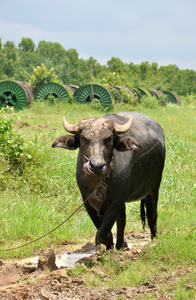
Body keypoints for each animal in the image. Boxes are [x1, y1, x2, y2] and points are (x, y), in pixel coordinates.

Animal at [52, 111, 165, 250]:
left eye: (109, 139)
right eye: (83, 138)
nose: (96, 165)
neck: (97, 182)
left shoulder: (115, 202)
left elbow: (103, 231)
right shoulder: (88, 202)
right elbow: (105, 229)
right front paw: (109, 247)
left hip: (153, 188)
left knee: (152, 215)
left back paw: (154, 241)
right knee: (122, 220)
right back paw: (121, 246)